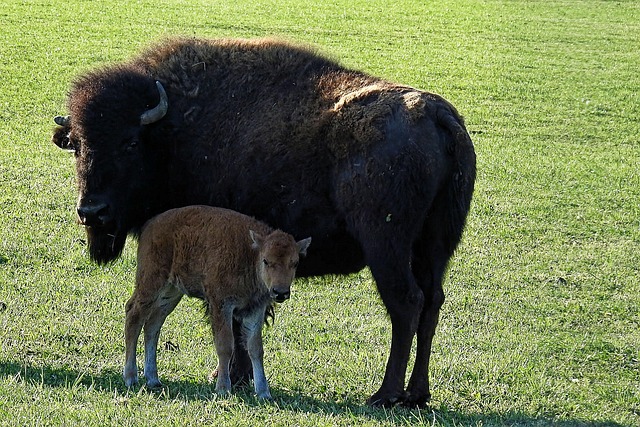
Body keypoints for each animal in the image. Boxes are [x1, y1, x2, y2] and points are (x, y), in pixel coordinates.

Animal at [52, 37, 476, 407]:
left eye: (129, 143)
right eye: (77, 145)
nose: (91, 211)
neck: (174, 130)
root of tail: (439, 116)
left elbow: (234, 325)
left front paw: (230, 377)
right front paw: (238, 378)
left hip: (387, 248)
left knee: (406, 304)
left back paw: (385, 395)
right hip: (434, 248)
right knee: (432, 303)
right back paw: (417, 394)